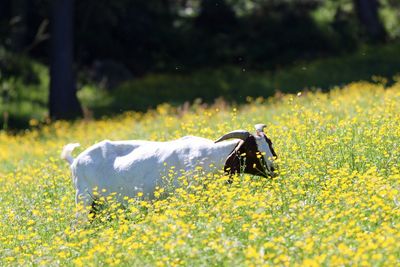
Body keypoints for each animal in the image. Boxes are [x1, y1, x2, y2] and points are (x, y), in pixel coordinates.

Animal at [61, 124, 276, 219]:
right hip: (84, 199)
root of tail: (75, 161)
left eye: (269, 143)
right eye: (252, 150)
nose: (274, 170)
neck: (210, 156)